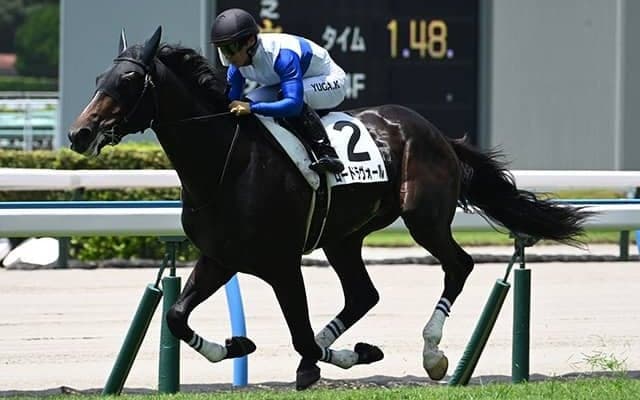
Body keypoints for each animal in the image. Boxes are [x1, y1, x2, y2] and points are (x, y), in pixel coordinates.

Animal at [68, 27, 591, 390]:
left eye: (130, 80)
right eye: (98, 78)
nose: (79, 133)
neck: (226, 165)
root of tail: (436, 133)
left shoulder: (281, 264)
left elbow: (298, 332)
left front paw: (337, 357)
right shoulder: (220, 257)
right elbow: (176, 317)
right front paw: (239, 344)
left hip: (423, 218)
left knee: (458, 266)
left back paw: (432, 354)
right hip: (344, 236)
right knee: (363, 294)